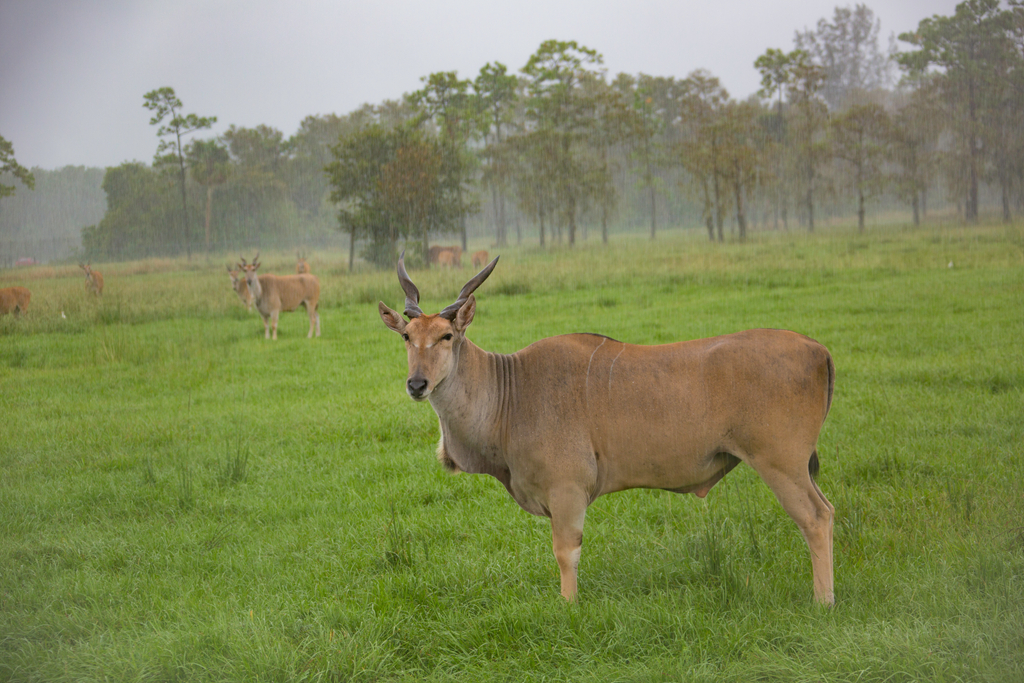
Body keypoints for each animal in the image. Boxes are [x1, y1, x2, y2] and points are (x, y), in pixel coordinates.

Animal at [380, 254, 835, 602]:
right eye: (406, 336)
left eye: (446, 336)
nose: (417, 384)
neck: (511, 391)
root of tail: (817, 348)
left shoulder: (567, 491)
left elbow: (565, 553)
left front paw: (568, 609)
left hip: (781, 463)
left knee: (816, 517)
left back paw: (823, 602)